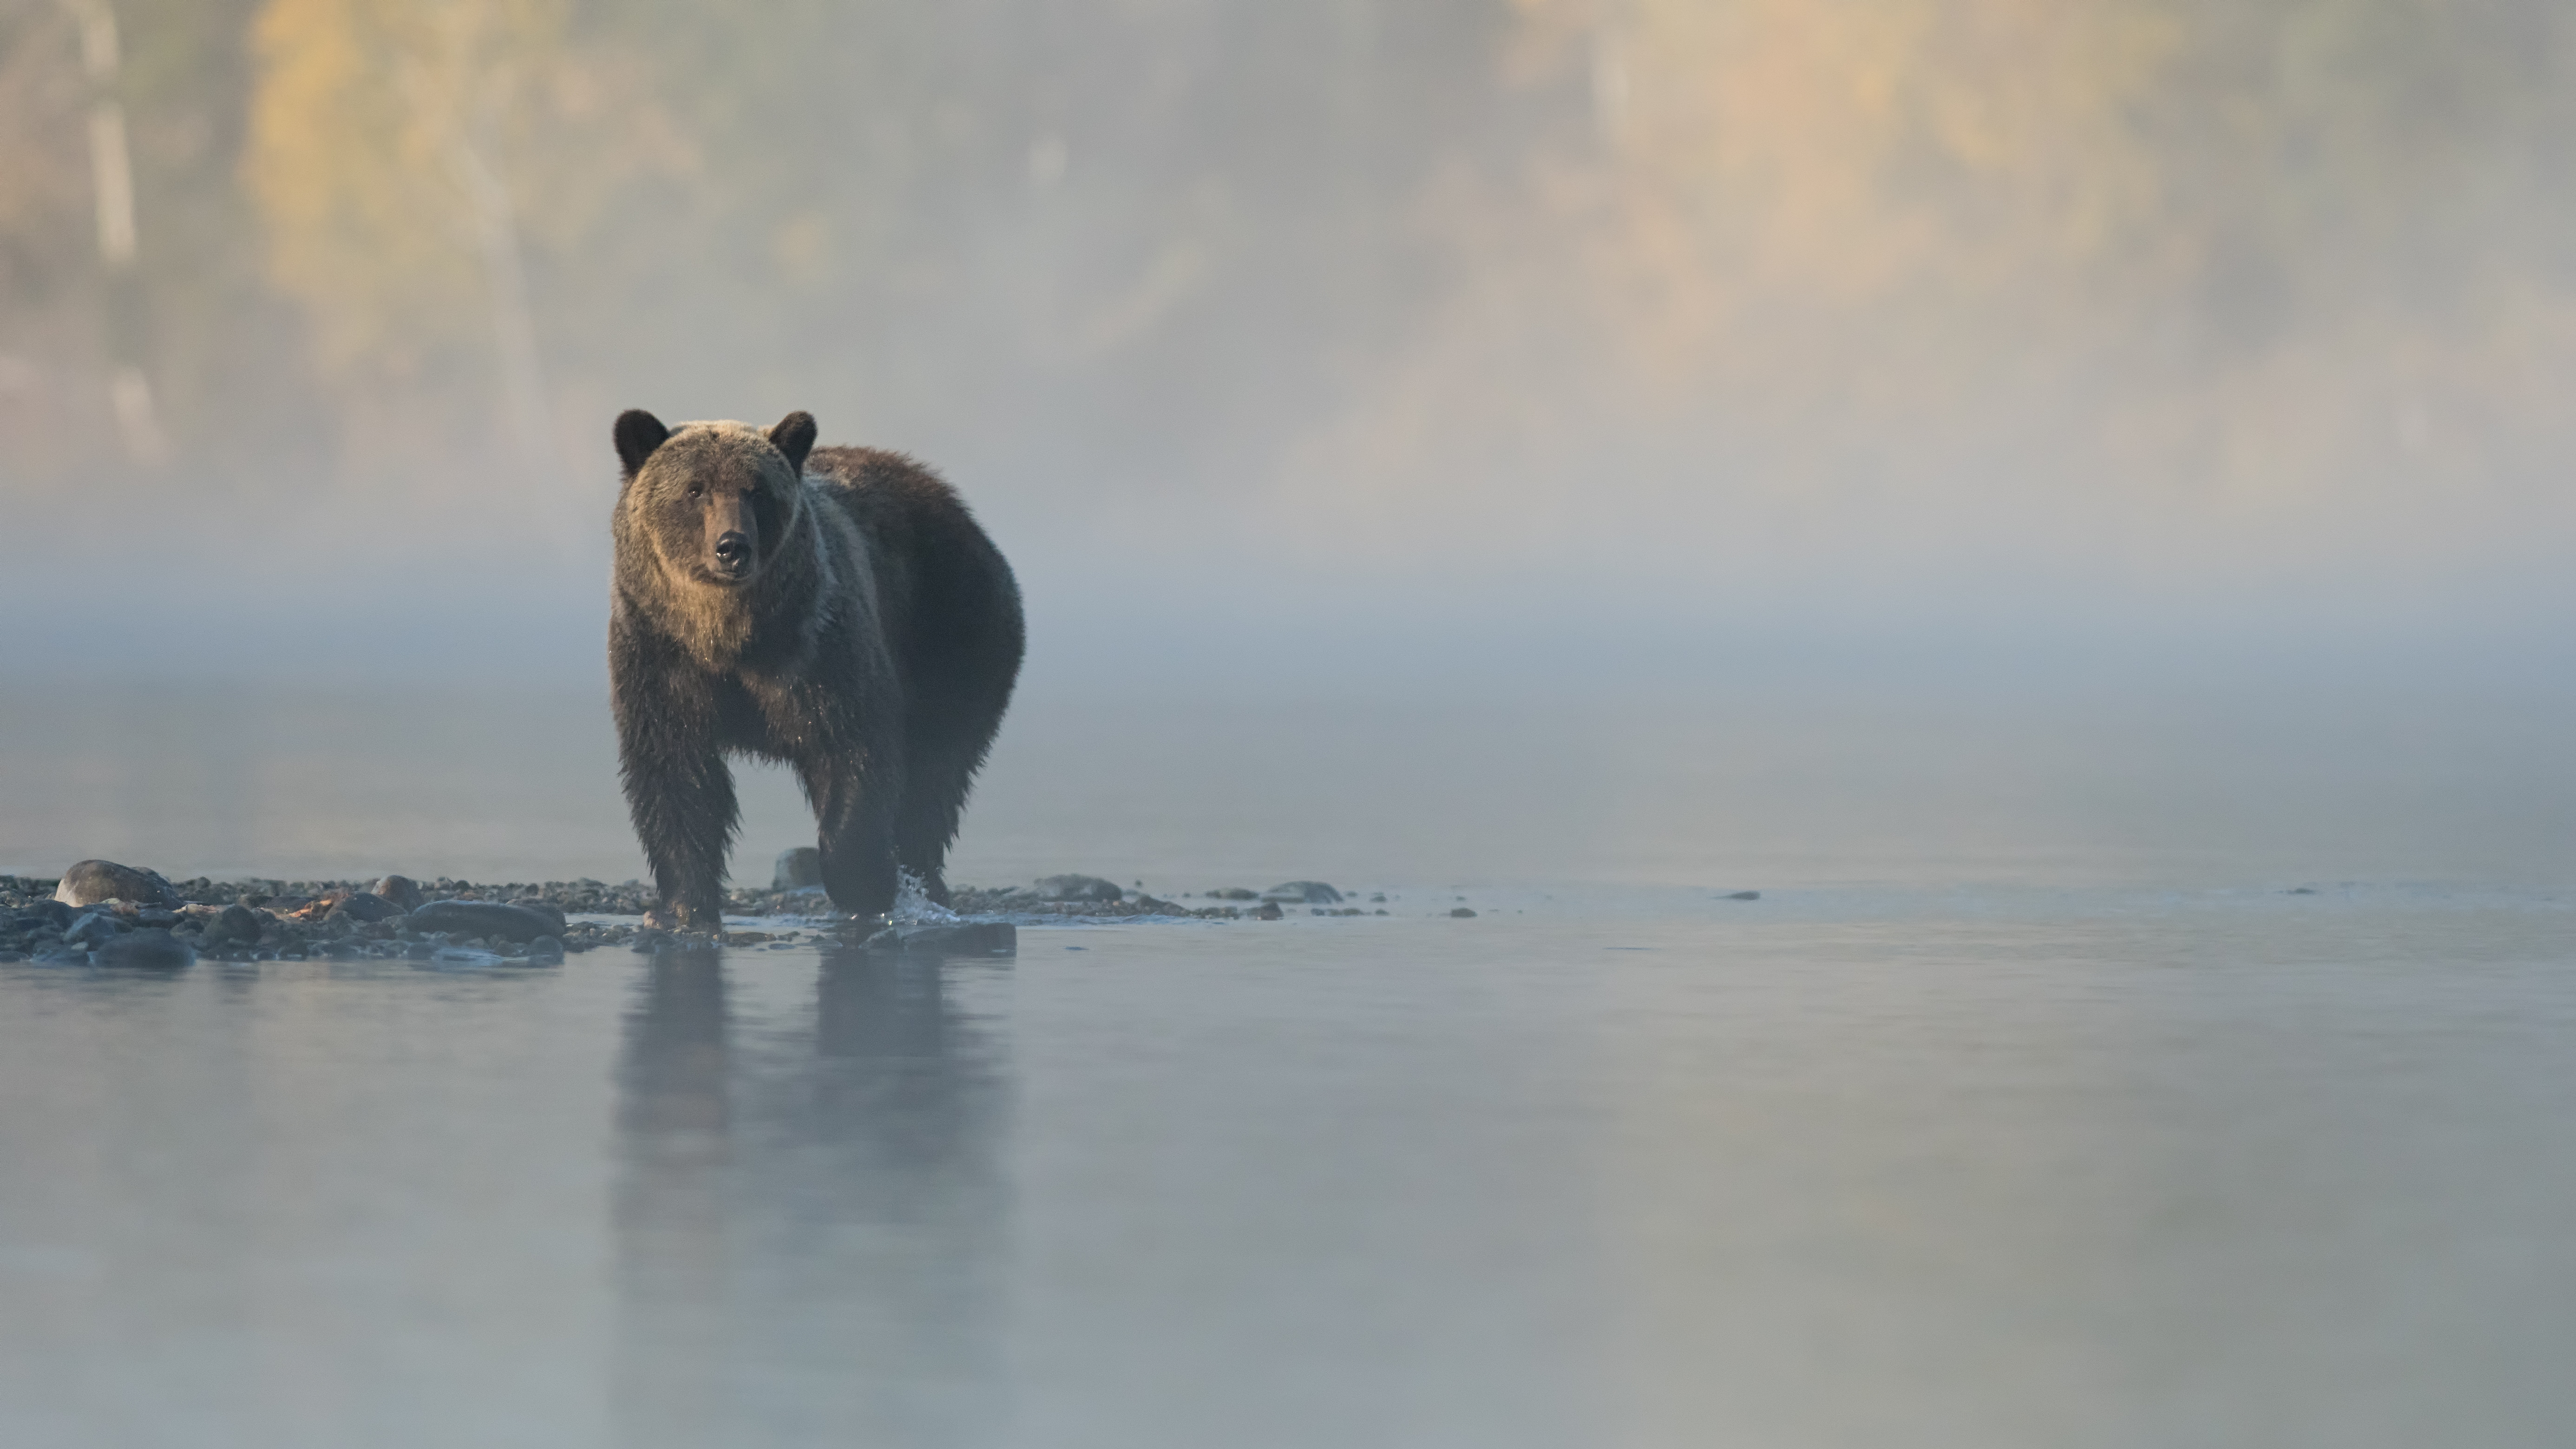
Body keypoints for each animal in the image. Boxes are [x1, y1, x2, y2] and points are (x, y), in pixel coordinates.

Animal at [609, 409, 1023, 928]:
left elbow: (851, 747)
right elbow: (675, 771)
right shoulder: (661, 654)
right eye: (695, 488)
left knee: (936, 771)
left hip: (954, 628)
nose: (732, 546)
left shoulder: (816, 648)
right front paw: (681, 907)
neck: (729, 637)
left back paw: (923, 881)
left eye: (757, 490)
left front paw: (865, 884)